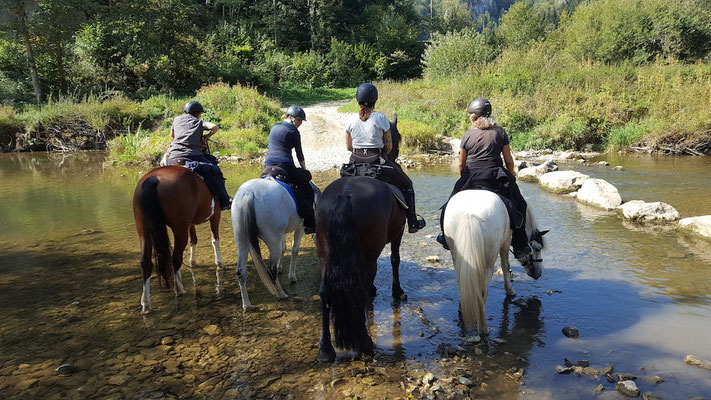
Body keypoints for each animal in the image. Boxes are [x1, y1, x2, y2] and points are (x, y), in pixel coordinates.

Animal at [132, 165, 224, 312]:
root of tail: (152, 179)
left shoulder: (190, 223)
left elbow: (193, 240)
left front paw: (192, 261)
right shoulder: (216, 215)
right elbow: (215, 239)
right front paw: (219, 263)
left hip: (144, 231)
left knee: (146, 263)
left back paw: (146, 304)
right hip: (179, 228)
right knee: (176, 257)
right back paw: (179, 290)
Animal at [231, 177, 320, 310]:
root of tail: (248, 194)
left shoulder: (283, 233)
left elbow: (284, 248)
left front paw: (280, 267)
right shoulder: (300, 228)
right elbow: (294, 250)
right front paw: (292, 276)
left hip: (241, 239)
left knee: (241, 271)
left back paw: (247, 304)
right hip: (273, 240)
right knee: (271, 269)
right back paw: (281, 294)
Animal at [316, 177, 408, 364]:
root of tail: (344, 195)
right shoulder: (399, 232)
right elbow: (395, 259)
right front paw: (397, 291)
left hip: (324, 255)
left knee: (325, 293)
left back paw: (325, 349)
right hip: (369, 255)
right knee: (361, 291)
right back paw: (364, 344)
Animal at [442, 189, 548, 336]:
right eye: (538, 248)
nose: (538, 274)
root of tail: (469, 215)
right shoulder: (506, 242)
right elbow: (505, 266)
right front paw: (510, 290)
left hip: (457, 255)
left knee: (463, 282)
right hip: (489, 260)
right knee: (482, 292)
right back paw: (484, 328)